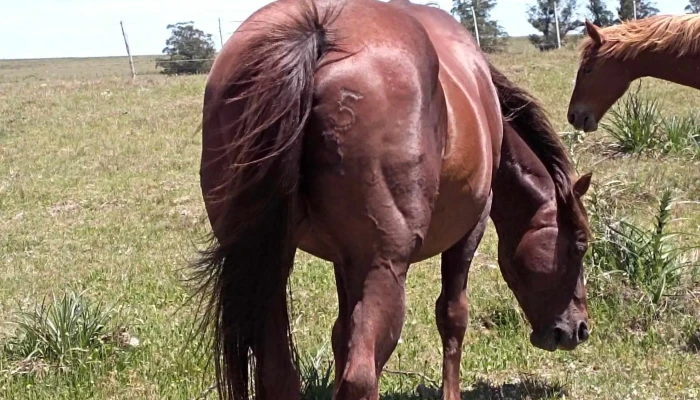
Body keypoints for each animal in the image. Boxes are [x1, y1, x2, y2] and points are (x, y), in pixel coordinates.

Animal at [193, 0, 593, 399]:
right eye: (580, 245)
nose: (578, 329)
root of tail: (317, 29)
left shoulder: (344, 260)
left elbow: (341, 333)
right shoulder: (470, 230)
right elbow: (453, 316)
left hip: (272, 264)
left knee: (279, 373)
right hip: (383, 269)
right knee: (362, 374)